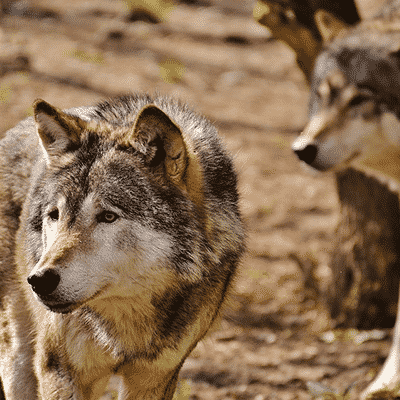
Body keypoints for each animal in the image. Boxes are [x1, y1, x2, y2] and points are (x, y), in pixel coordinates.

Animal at [0, 92, 244, 398]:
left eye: (108, 216)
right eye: (54, 215)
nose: (39, 280)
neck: (124, 323)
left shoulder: (155, 378)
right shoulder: (58, 371)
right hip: (19, 354)